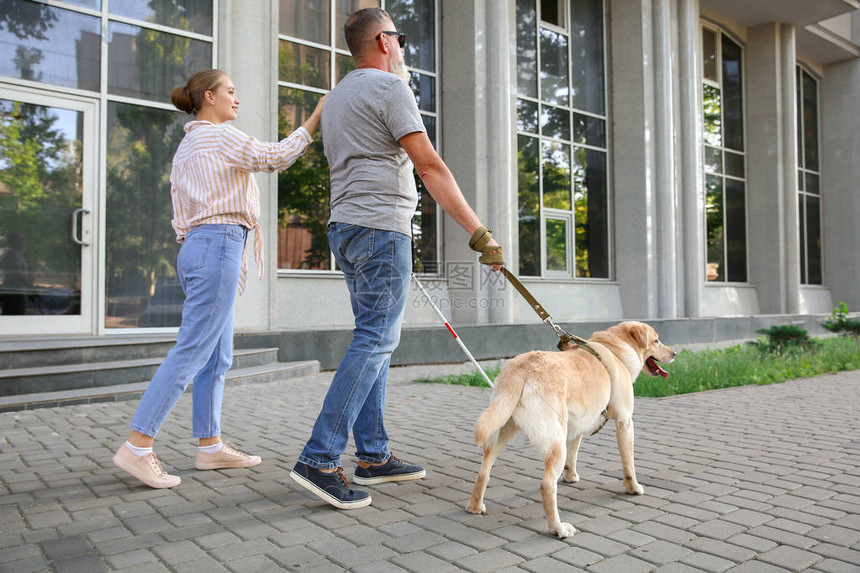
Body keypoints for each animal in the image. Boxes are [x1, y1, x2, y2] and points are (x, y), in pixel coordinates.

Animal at [466, 322, 676, 536]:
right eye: (656, 341)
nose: (674, 353)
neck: (615, 349)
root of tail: (521, 368)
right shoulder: (625, 422)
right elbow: (629, 465)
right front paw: (633, 487)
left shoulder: (577, 426)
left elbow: (573, 455)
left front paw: (570, 476)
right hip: (556, 443)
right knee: (547, 485)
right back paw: (558, 528)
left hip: (500, 429)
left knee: (483, 471)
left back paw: (475, 506)